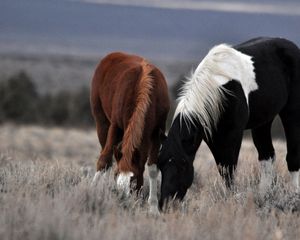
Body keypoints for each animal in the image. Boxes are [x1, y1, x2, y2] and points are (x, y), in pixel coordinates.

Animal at [90, 51, 170, 213]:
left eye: (134, 180)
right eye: (116, 176)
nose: (122, 201)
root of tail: (113, 55)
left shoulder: (156, 132)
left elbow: (152, 167)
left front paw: (153, 208)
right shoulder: (115, 126)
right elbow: (104, 160)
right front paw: (92, 191)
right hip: (101, 123)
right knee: (105, 155)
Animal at [158, 38, 298, 208]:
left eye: (183, 164)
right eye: (159, 164)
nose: (166, 203)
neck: (219, 89)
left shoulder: (233, 135)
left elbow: (228, 169)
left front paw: (232, 200)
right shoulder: (213, 137)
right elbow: (223, 169)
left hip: (291, 112)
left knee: (292, 156)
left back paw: (294, 196)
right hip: (263, 121)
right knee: (267, 156)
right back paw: (264, 196)